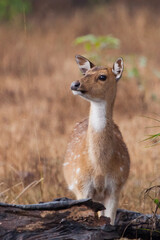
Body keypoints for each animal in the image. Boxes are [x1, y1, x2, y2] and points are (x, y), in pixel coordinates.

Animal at [62, 55, 130, 224]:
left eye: (102, 77)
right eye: (86, 73)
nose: (75, 84)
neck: (99, 168)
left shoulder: (116, 186)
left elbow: (110, 221)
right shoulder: (81, 185)